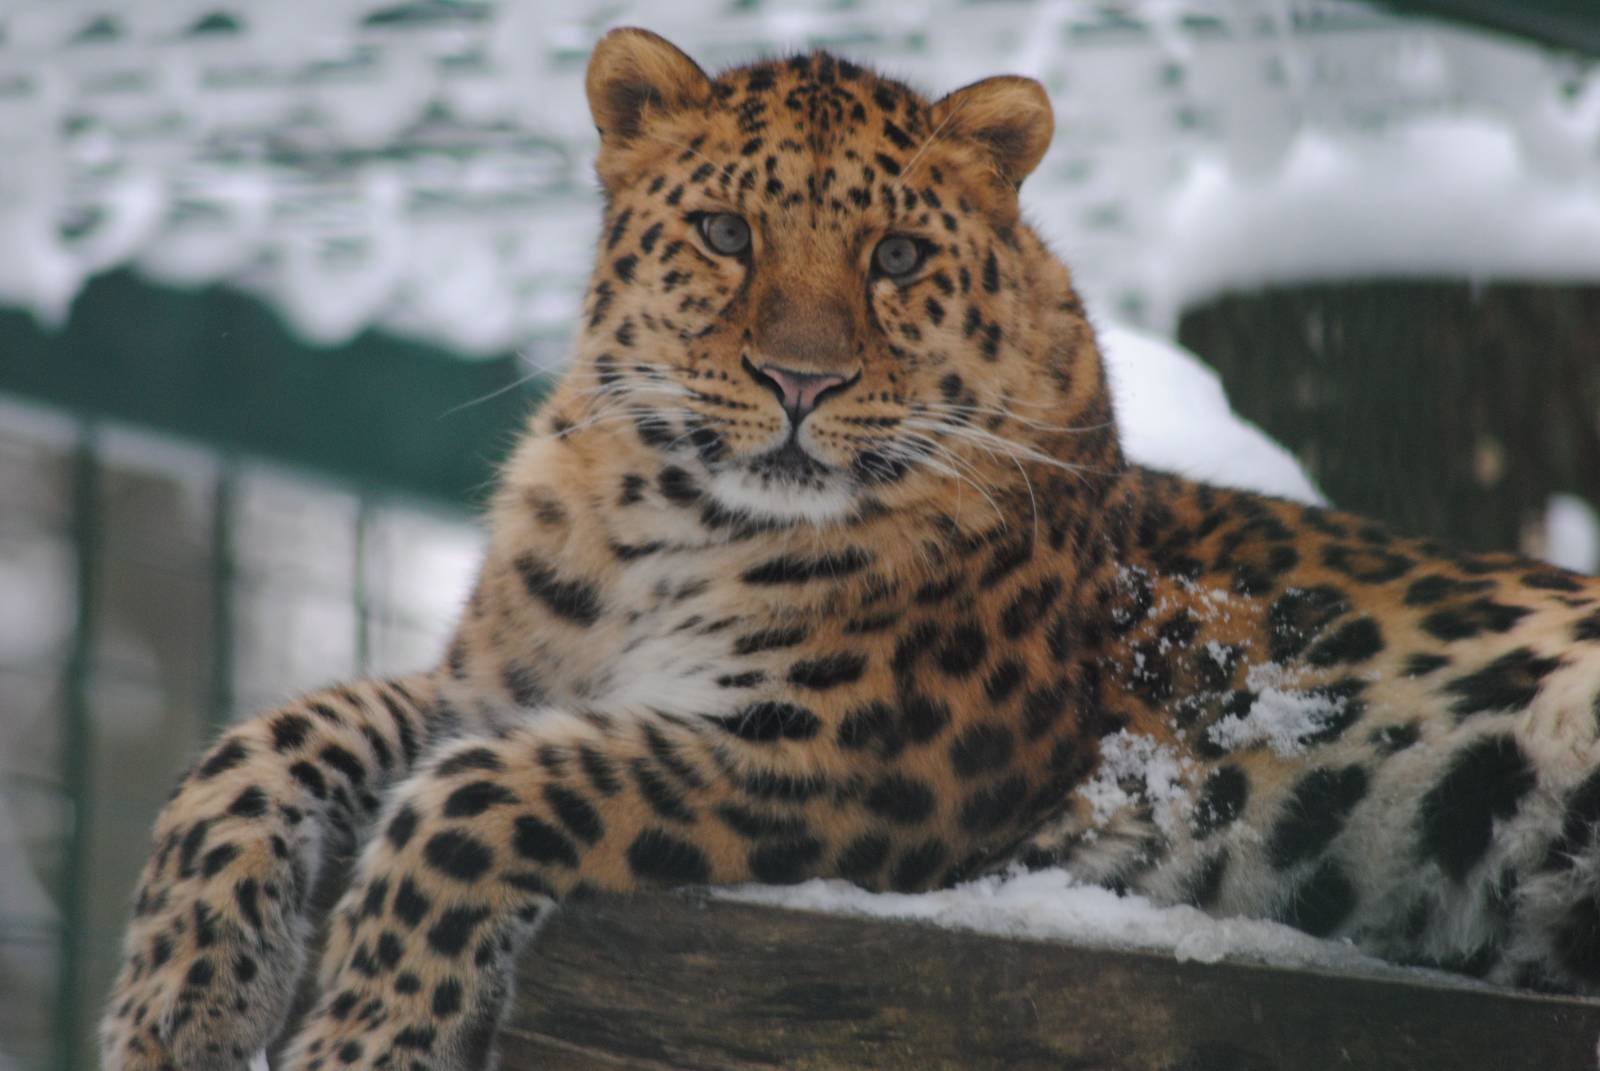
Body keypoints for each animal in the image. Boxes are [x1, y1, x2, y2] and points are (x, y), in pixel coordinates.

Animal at [101, 27, 1600, 1071]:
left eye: (892, 256)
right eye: (724, 232)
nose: (799, 382)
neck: (662, 524)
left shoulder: (860, 756)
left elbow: (478, 798)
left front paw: (364, 1032)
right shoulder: (501, 679)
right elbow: (264, 740)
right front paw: (172, 1002)